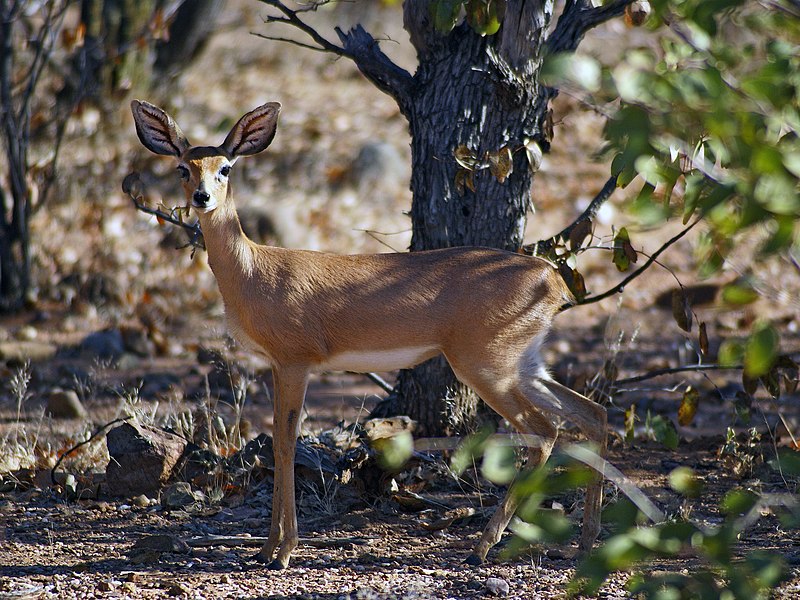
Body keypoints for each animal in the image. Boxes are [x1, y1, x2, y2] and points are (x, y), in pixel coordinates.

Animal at [131, 101, 608, 568]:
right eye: (183, 167)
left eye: (225, 167)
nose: (202, 197)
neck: (253, 271)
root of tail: (553, 279)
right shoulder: (278, 365)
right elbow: (279, 443)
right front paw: (266, 548)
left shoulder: (295, 362)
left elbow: (285, 444)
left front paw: (282, 552)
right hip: (524, 364)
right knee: (591, 414)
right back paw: (585, 543)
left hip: (486, 367)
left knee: (545, 431)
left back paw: (482, 547)